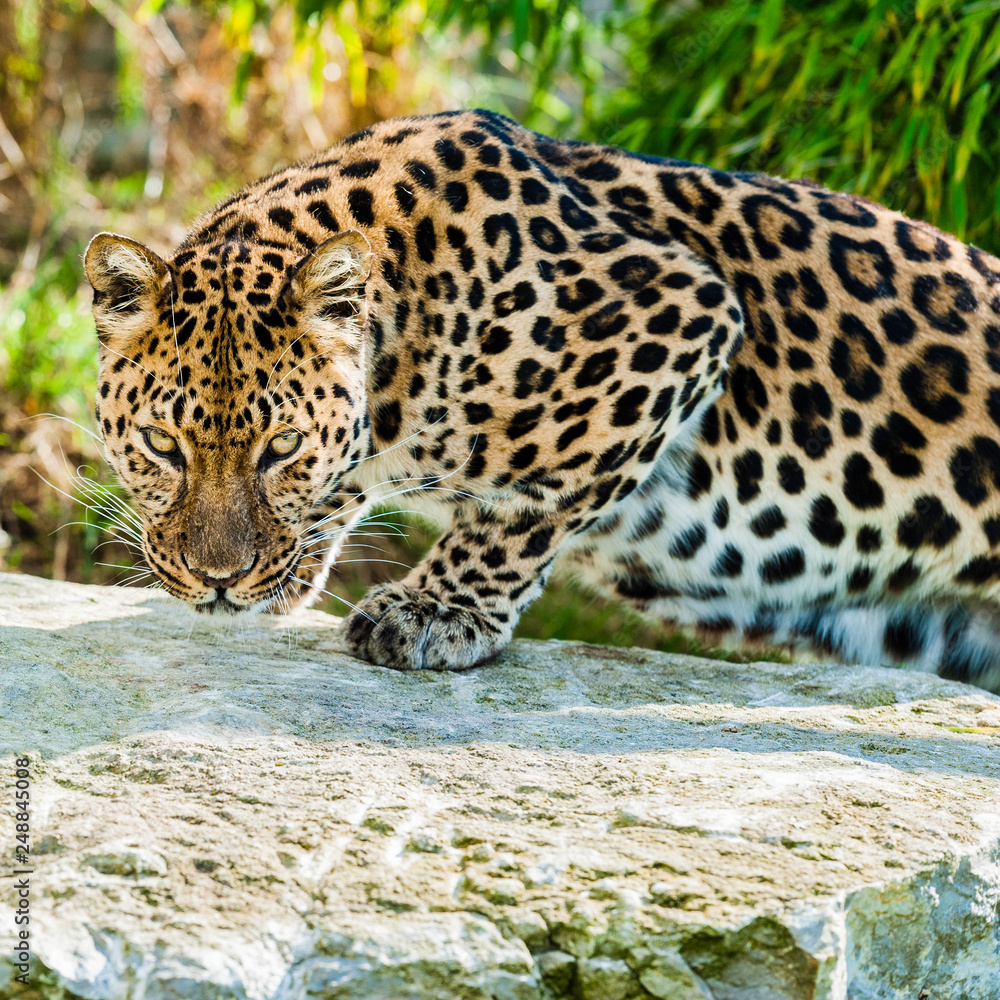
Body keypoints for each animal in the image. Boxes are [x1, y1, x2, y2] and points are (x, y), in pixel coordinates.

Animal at [83, 108, 1000, 691]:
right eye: (162, 445)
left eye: (281, 448)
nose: (219, 580)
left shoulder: (681, 313)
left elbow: (526, 508)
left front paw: (433, 610)